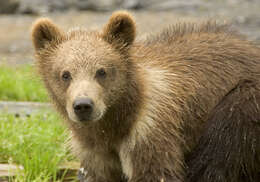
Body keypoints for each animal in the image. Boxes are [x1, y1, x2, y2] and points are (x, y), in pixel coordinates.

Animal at [31, 11, 258, 182]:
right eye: (65, 74)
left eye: (101, 71)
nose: (83, 105)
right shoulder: (94, 150)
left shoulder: (149, 132)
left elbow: (157, 172)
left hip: (241, 106)